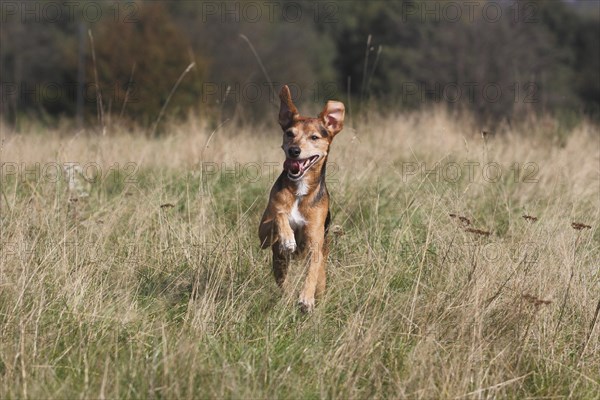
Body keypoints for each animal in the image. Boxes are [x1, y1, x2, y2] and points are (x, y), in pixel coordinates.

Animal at [258, 85, 346, 312]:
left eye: (314, 137)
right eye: (290, 133)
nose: (294, 150)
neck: (300, 190)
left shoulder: (314, 243)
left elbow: (311, 273)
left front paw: (306, 298)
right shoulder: (263, 236)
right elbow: (279, 214)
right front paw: (288, 237)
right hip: (279, 267)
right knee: (285, 285)